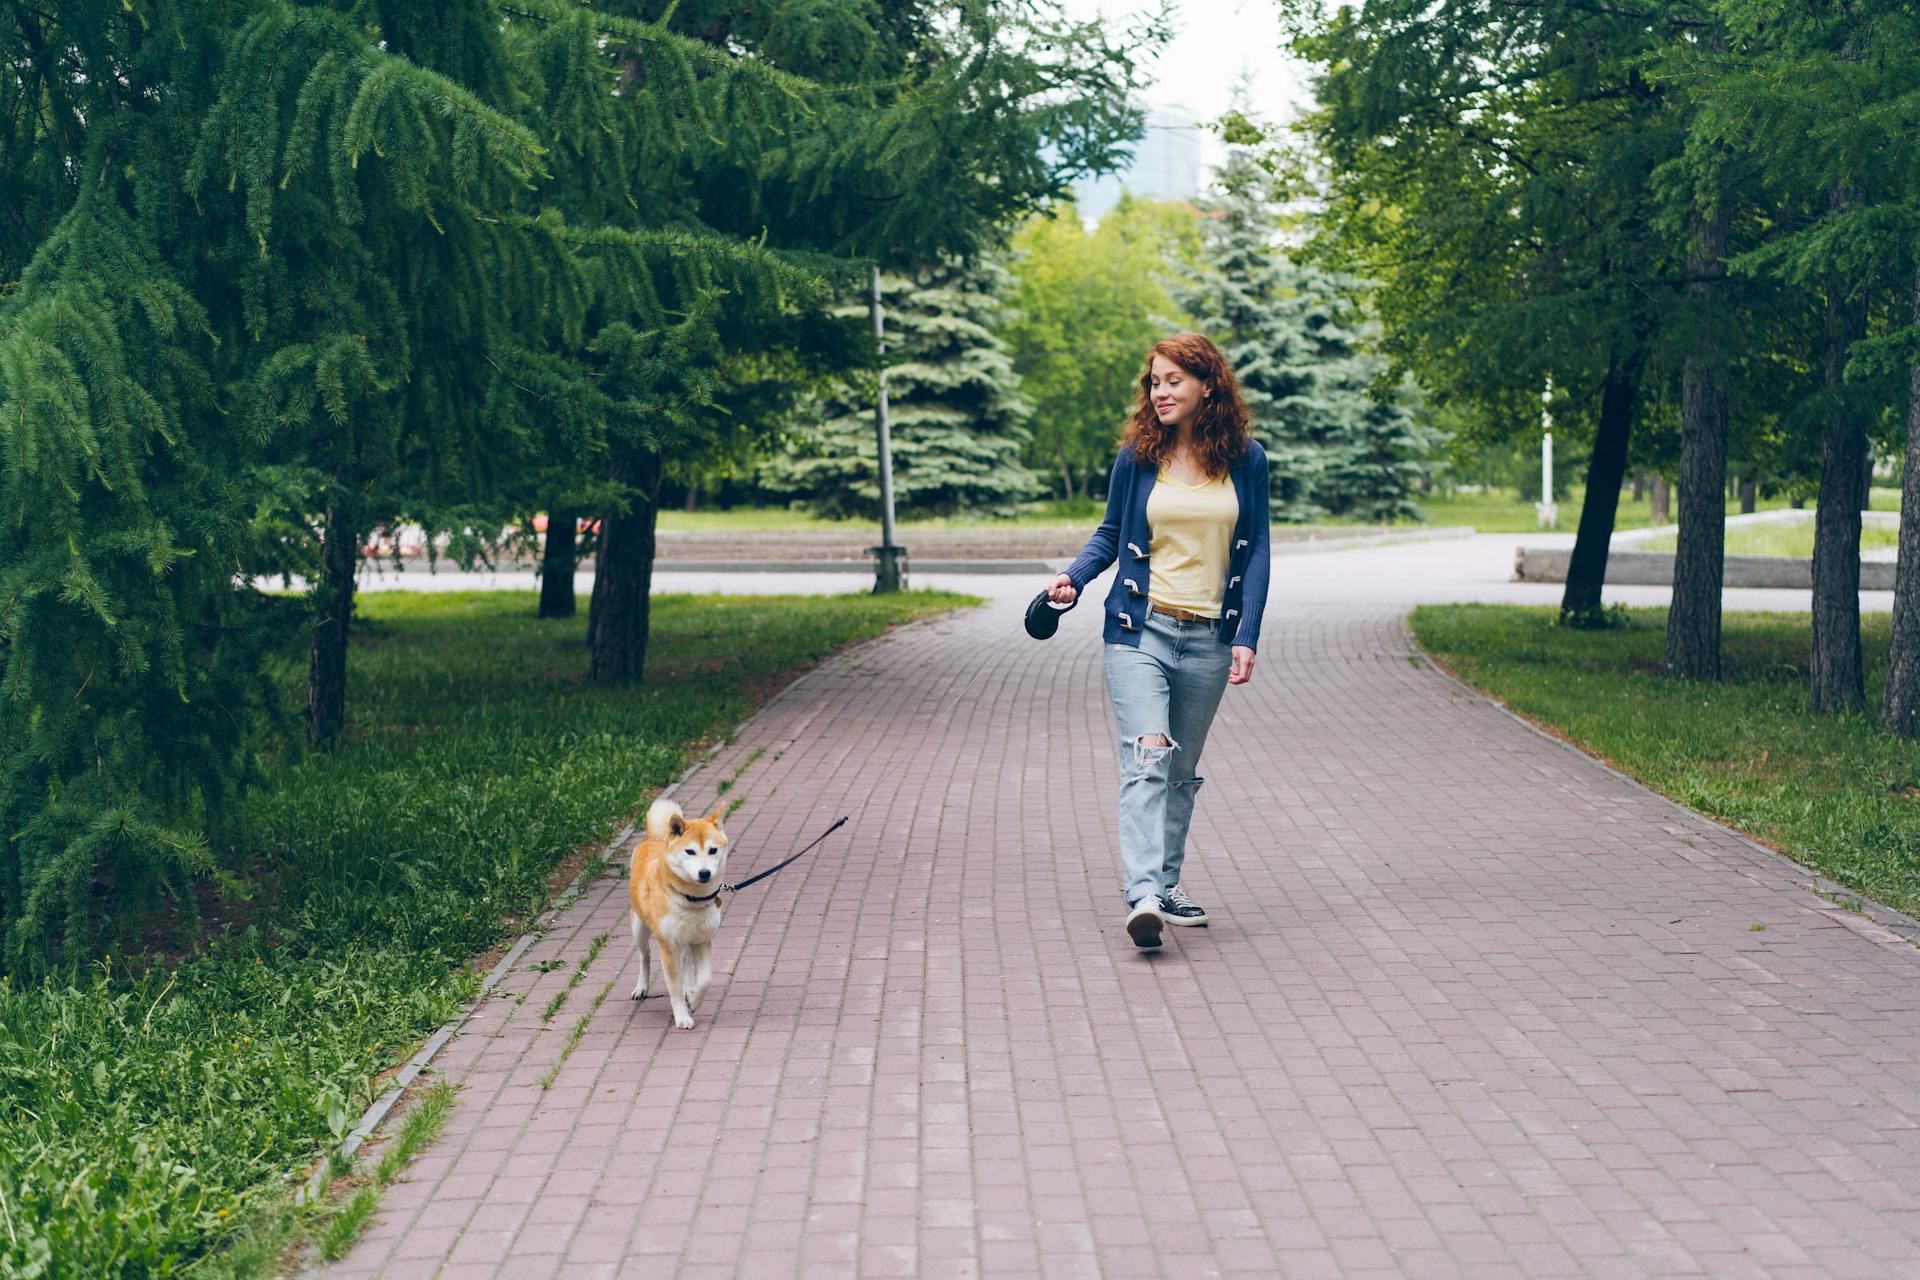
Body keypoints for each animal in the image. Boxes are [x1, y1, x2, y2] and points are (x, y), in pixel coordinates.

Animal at [629, 802, 725, 1028]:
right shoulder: (668, 947)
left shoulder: (703, 939)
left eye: (713, 850)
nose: (704, 873)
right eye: (689, 851)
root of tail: (656, 839)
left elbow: (705, 979)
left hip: (689, 939)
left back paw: (689, 988)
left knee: (688, 961)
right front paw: (682, 1017)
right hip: (639, 929)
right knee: (645, 957)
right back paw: (642, 987)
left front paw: (695, 999)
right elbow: (674, 988)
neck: (690, 899)